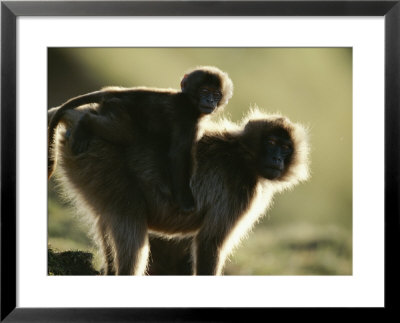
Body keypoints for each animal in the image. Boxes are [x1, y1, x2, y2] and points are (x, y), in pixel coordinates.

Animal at [48, 66, 233, 213]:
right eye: (205, 91)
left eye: (216, 94)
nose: (210, 100)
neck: (189, 102)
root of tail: (116, 91)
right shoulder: (187, 119)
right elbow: (178, 155)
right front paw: (186, 202)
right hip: (119, 106)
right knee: (125, 132)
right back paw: (84, 122)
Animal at [49, 108, 310, 276]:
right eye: (272, 143)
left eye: (285, 147)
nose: (277, 159)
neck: (244, 156)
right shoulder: (238, 192)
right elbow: (209, 243)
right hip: (100, 162)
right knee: (130, 222)